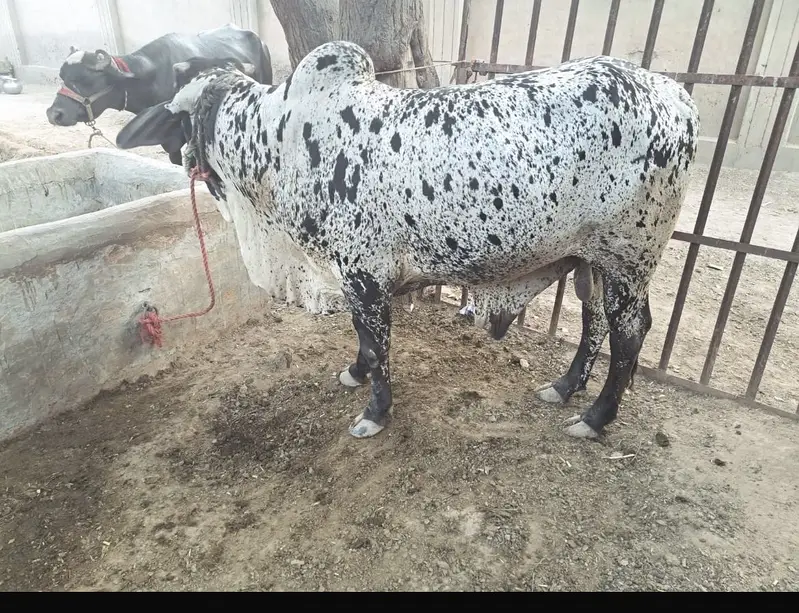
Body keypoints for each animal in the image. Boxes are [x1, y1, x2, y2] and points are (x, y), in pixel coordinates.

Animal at [115, 42, 700, 442]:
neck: (278, 141)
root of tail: (674, 94)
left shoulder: (362, 272)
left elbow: (376, 345)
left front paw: (374, 412)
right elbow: (364, 343)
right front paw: (354, 374)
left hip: (629, 258)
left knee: (629, 335)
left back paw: (595, 417)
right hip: (590, 260)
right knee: (593, 323)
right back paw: (563, 387)